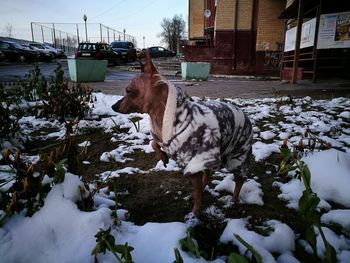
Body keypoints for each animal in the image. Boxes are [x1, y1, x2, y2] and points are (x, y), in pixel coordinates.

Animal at [112, 52, 252, 218]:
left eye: (128, 91)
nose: (113, 106)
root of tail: (244, 114)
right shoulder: (169, 143)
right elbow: (153, 143)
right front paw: (163, 157)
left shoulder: (196, 161)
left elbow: (197, 195)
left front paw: (195, 214)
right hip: (214, 154)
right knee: (207, 174)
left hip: (236, 156)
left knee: (239, 180)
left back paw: (233, 201)